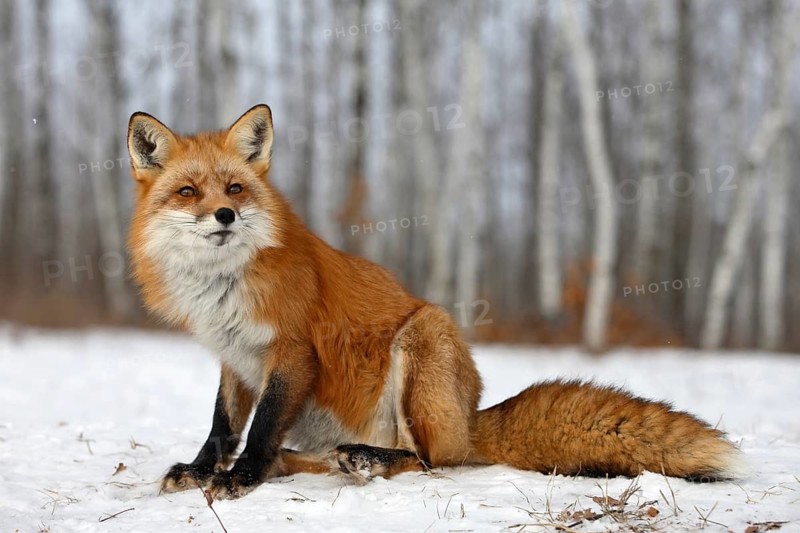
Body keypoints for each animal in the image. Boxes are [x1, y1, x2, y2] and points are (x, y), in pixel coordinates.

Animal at [126, 104, 743, 500]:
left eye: (235, 188)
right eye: (188, 192)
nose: (225, 215)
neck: (224, 287)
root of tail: (472, 420)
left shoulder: (292, 353)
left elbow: (259, 429)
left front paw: (240, 477)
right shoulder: (236, 358)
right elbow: (223, 427)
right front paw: (202, 470)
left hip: (424, 338)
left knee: (428, 460)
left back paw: (367, 459)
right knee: (331, 458)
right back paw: (306, 461)